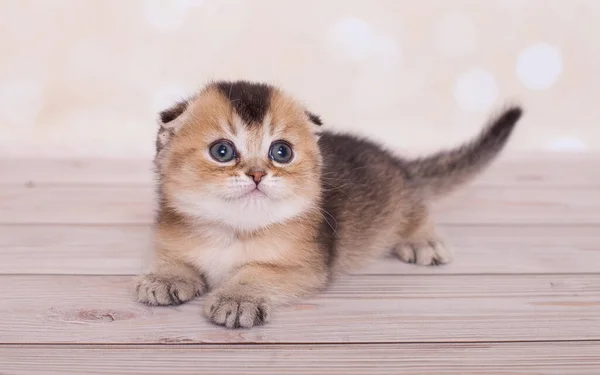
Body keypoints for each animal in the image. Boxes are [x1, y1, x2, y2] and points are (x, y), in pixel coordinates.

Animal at [134, 80, 524, 328]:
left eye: (281, 152)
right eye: (222, 151)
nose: (258, 174)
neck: (233, 230)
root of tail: (397, 163)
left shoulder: (308, 266)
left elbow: (258, 272)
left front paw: (238, 299)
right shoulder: (172, 236)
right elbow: (175, 259)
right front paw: (165, 277)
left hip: (401, 201)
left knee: (417, 209)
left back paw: (422, 240)